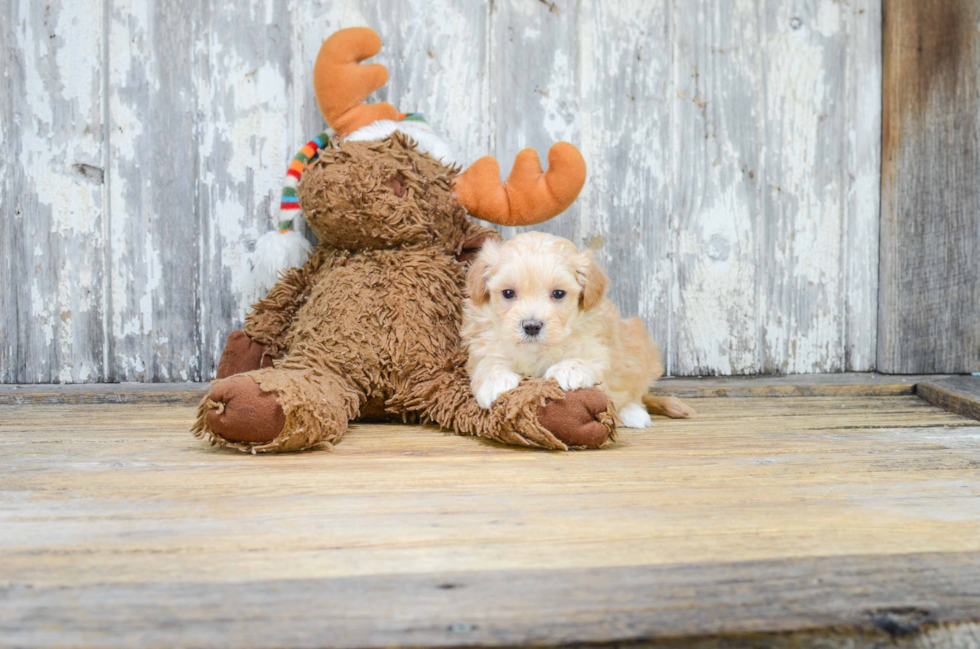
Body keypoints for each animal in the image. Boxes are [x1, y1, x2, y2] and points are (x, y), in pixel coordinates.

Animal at [464, 232, 692, 426]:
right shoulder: (484, 342)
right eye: (508, 293)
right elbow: (487, 362)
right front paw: (495, 381)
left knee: (633, 390)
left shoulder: (598, 346)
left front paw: (567, 370)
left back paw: (632, 412)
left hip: (638, 346)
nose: (532, 326)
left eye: (558, 293)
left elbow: (590, 361)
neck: (537, 349)